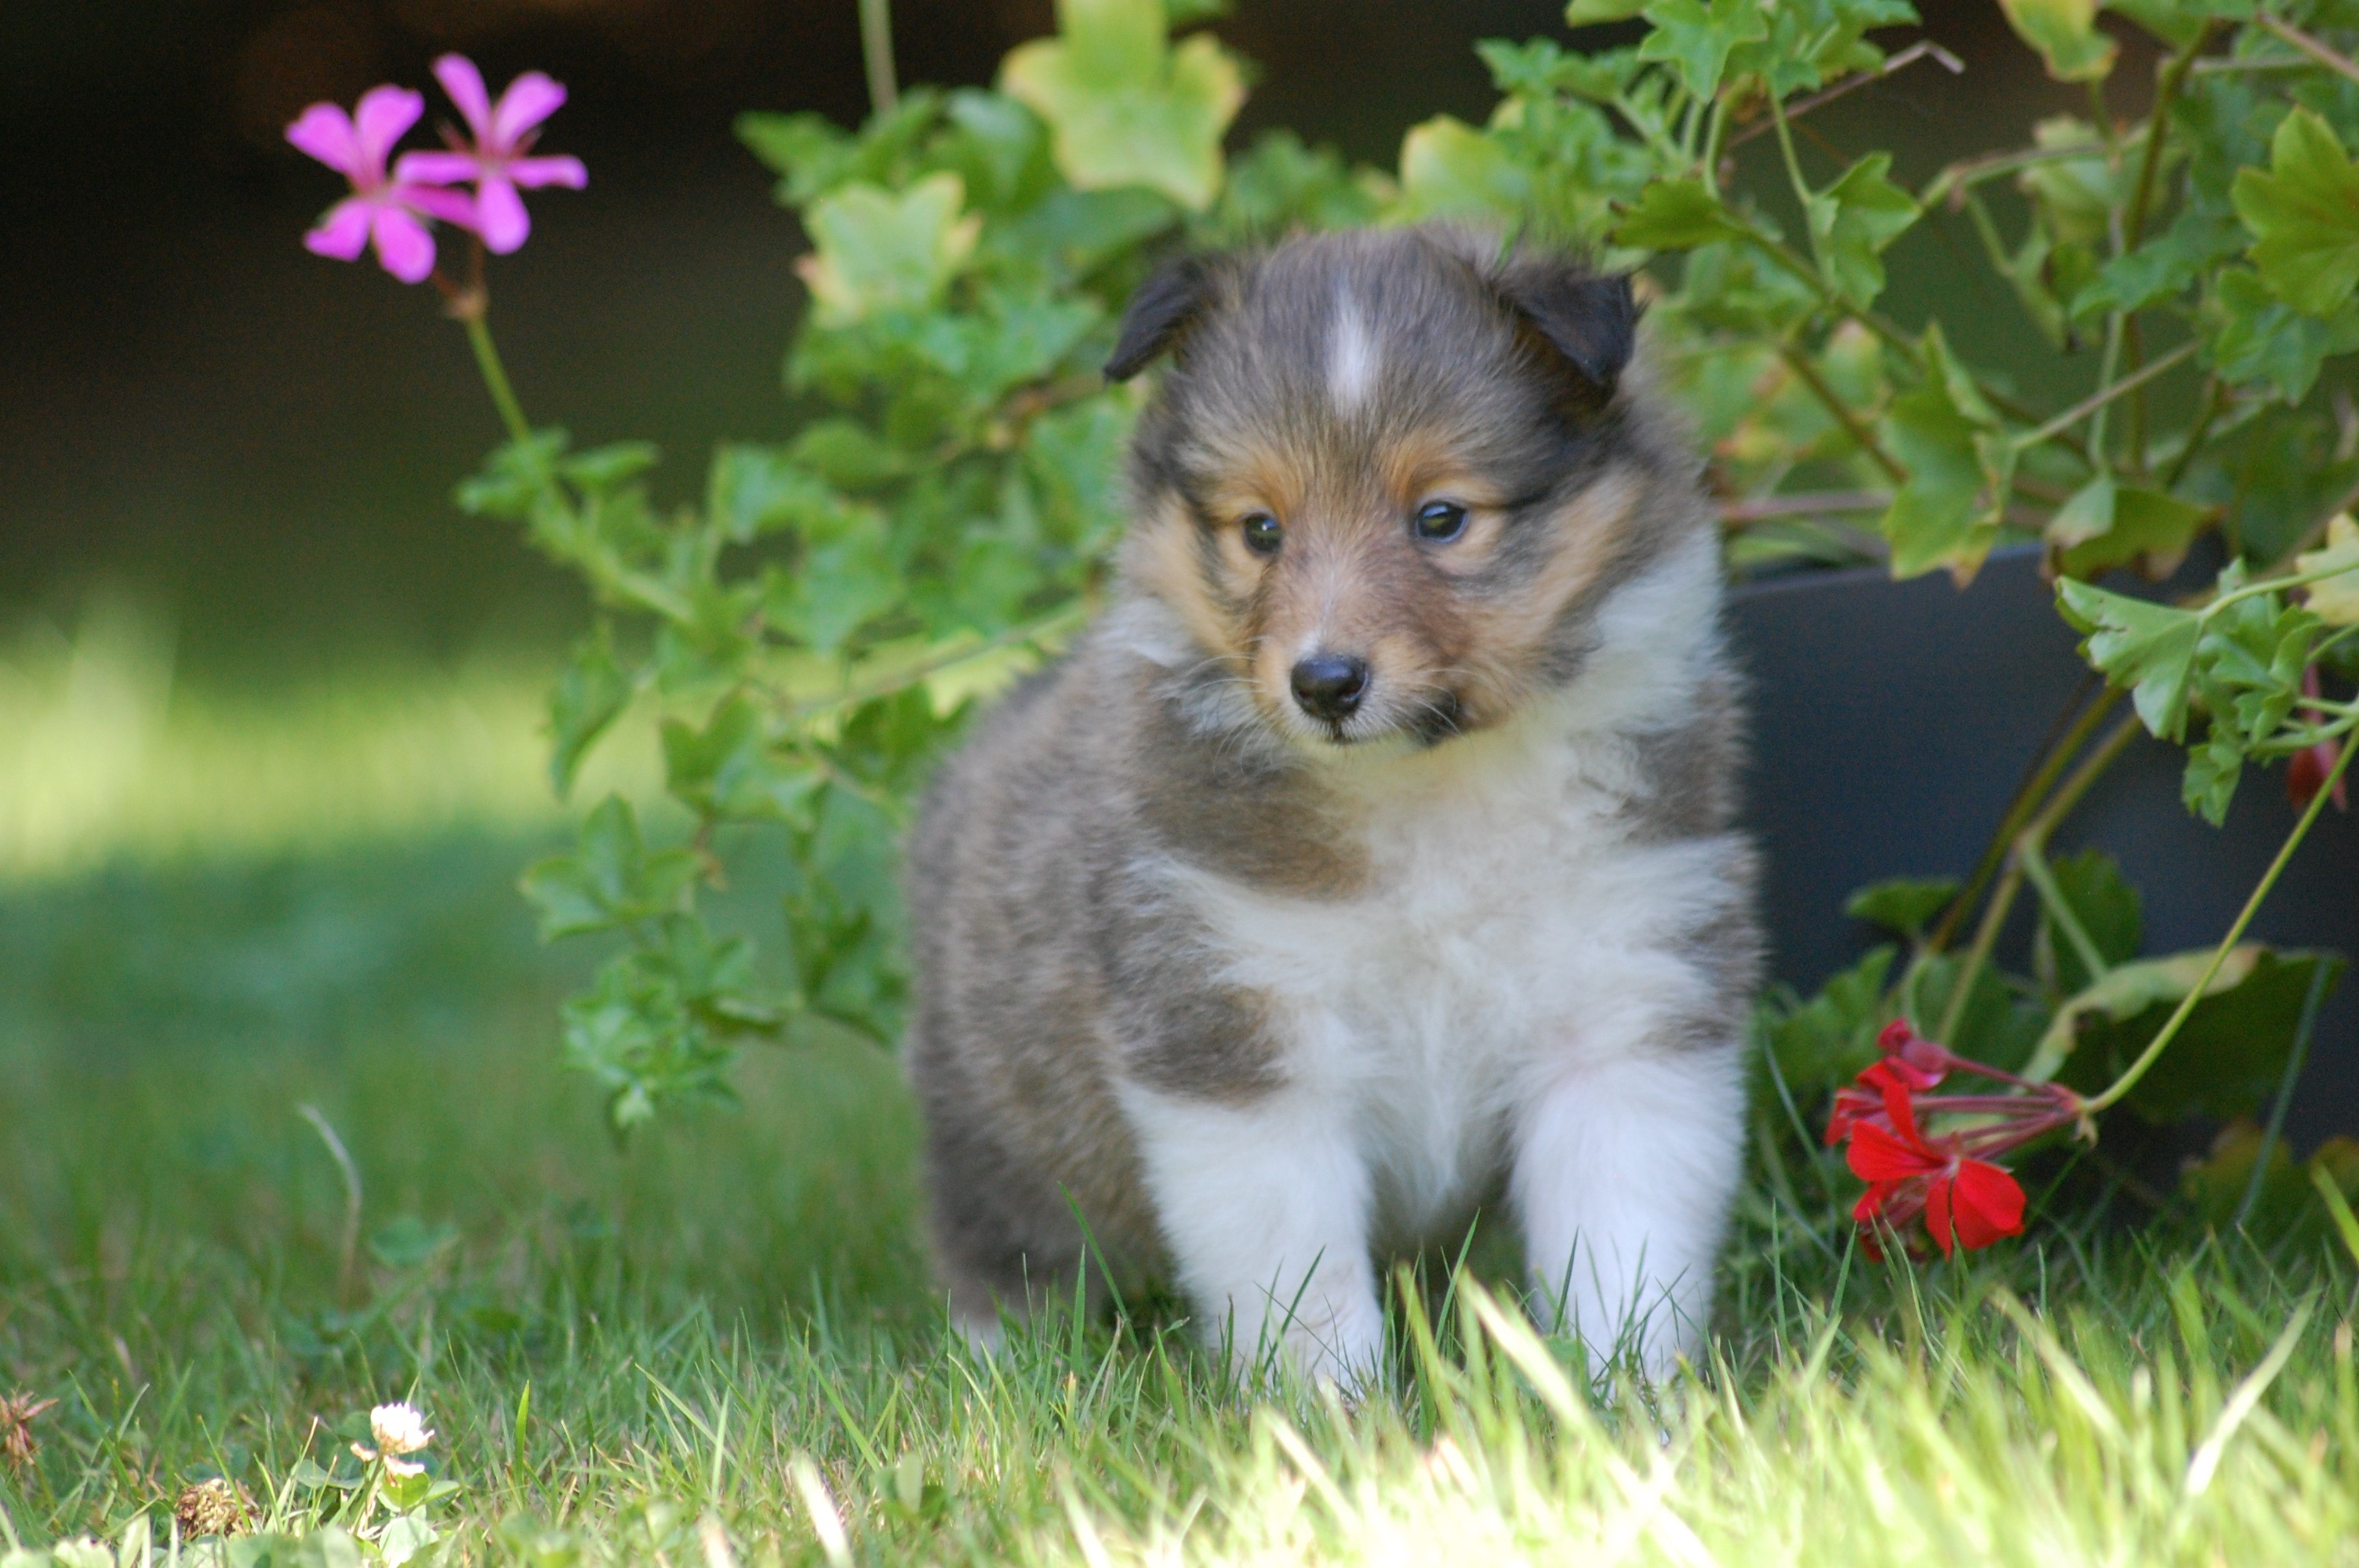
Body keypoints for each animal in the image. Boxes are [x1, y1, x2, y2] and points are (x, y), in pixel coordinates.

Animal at [896, 223, 1754, 1386]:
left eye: (1440, 518)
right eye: (1260, 529)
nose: (1325, 682)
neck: (1428, 788)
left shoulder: (1625, 1001)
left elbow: (1625, 1240)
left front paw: (1625, 1393)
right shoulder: (1238, 1038)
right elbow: (1295, 1277)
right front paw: (1334, 1414)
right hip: (996, 1115)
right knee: (1000, 1242)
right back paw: (1007, 1364)